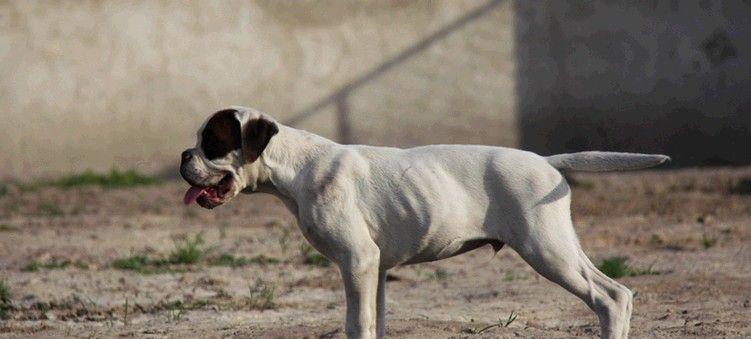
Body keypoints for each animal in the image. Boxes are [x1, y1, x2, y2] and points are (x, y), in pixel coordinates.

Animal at [181, 105, 668, 338]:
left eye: (211, 142)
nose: (185, 155)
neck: (298, 167)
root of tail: (546, 161)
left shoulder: (357, 261)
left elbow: (356, 324)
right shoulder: (373, 269)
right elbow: (374, 324)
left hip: (547, 251)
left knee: (609, 298)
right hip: (561, 245)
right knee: (618, 294)